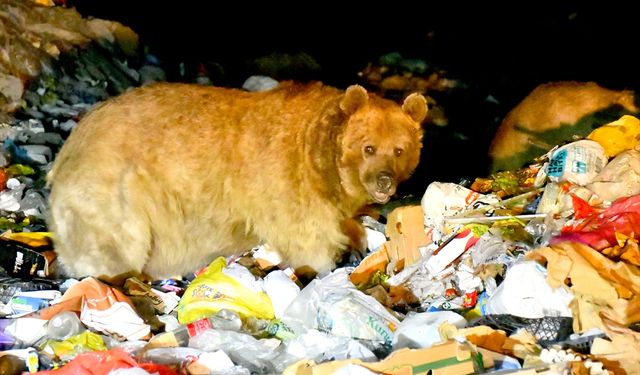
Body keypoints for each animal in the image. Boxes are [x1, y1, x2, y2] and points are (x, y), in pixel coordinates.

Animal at [45, 83, 424, 282]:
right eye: (368, 147)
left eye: (399, 149)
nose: (385, 181)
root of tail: (70, 145)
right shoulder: (286, 180)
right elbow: (308, 235)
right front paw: (323, 266)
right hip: (115, 186)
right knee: (116, 240)